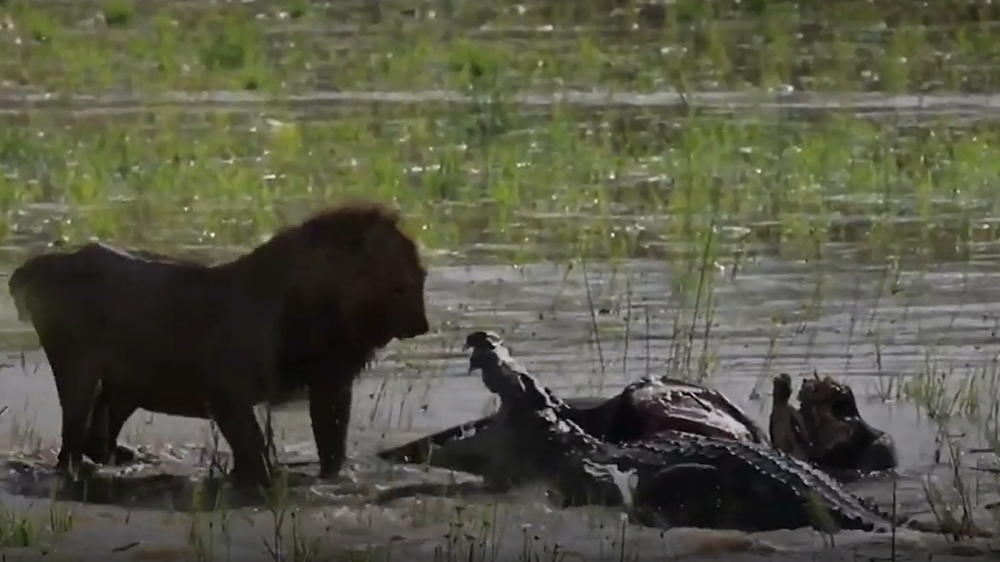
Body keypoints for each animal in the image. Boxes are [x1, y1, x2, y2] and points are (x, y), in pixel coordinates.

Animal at [7, 200, 431, 487]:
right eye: (401, 285)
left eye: (423, 277)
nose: (422, 325)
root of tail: (32, 268)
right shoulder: (224, 386)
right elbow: (252, 446)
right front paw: (263, 480)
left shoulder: (331, 379)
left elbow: (331, 442)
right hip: (75, 365)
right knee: (70, 441)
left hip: (129, 381)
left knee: (98, 433)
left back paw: (127, 456)